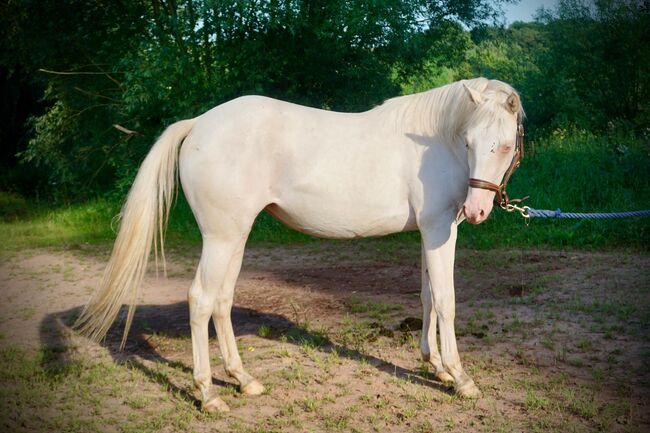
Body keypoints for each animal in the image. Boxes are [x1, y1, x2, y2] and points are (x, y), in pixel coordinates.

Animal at [74, 77, 520, 412]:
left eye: (504, 145)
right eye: (469, 142)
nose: (477, 209)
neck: (437, 142)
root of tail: (199, 123)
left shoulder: (431, 232)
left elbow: (428, 297)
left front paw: (436, 365)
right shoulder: (440, 229)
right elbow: (446, 300)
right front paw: (460, 378)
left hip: (234, 238)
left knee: (221, 300)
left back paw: (243, 380)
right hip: (220, 239)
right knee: (201, 300)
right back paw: (209, 394)